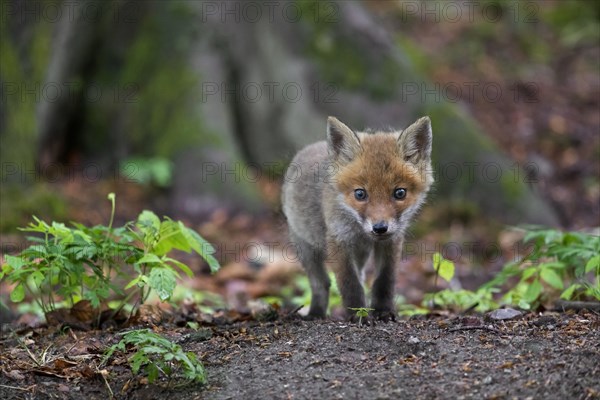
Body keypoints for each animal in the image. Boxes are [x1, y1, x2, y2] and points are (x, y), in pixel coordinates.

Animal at [282, 116, 432, 322]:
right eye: (360, 194)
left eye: (400, 193)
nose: (380, 228)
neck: (360, 231)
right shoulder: (339, 240)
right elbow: (349, 283)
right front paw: (358, 314)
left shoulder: (391, 241)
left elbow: (384, 280)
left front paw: (383, 311)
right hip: (305, 248)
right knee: (321, 283)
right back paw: (316, 313)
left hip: (360, 254)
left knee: (359, 275)